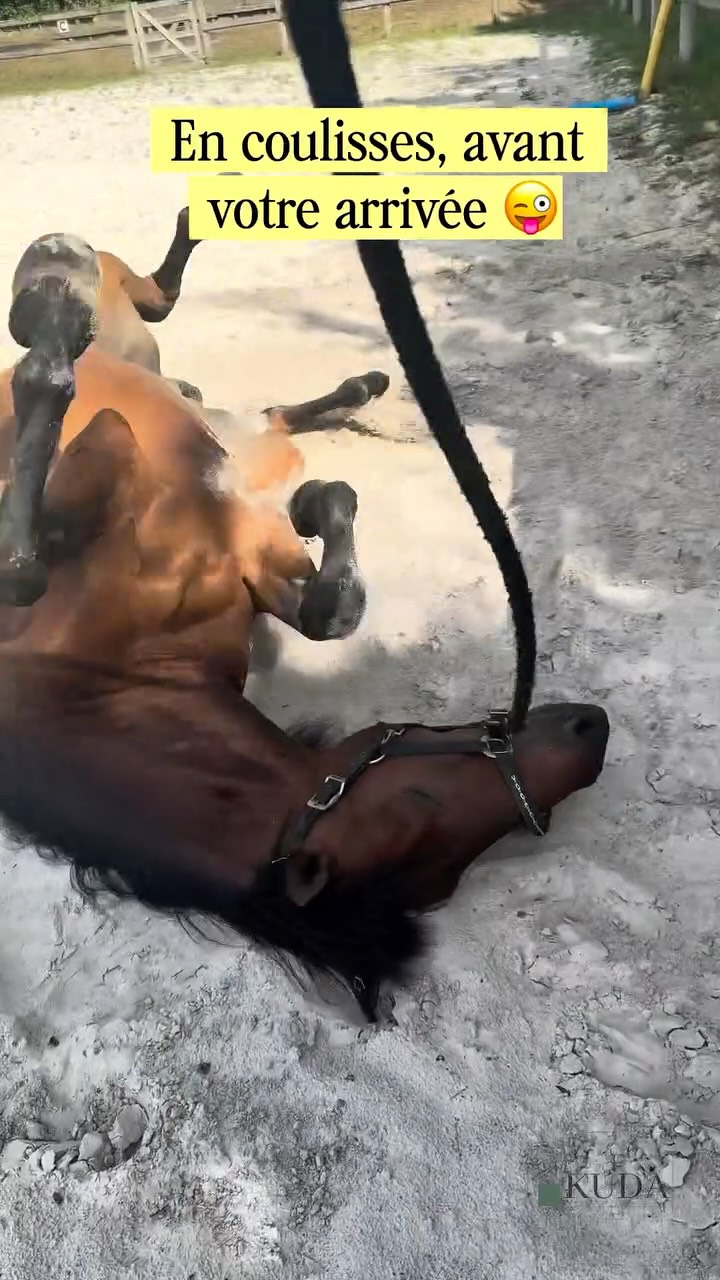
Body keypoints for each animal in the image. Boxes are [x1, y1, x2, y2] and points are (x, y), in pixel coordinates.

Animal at [0, 235, 610, 1020]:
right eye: (422, 802)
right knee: (126, 317)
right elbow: (28, 551)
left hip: (199, 392)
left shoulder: (249, 554)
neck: (105, 681)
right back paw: (55, 283)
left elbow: (326, 610)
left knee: (203, 358)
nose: (593, 731)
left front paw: (323, 503)